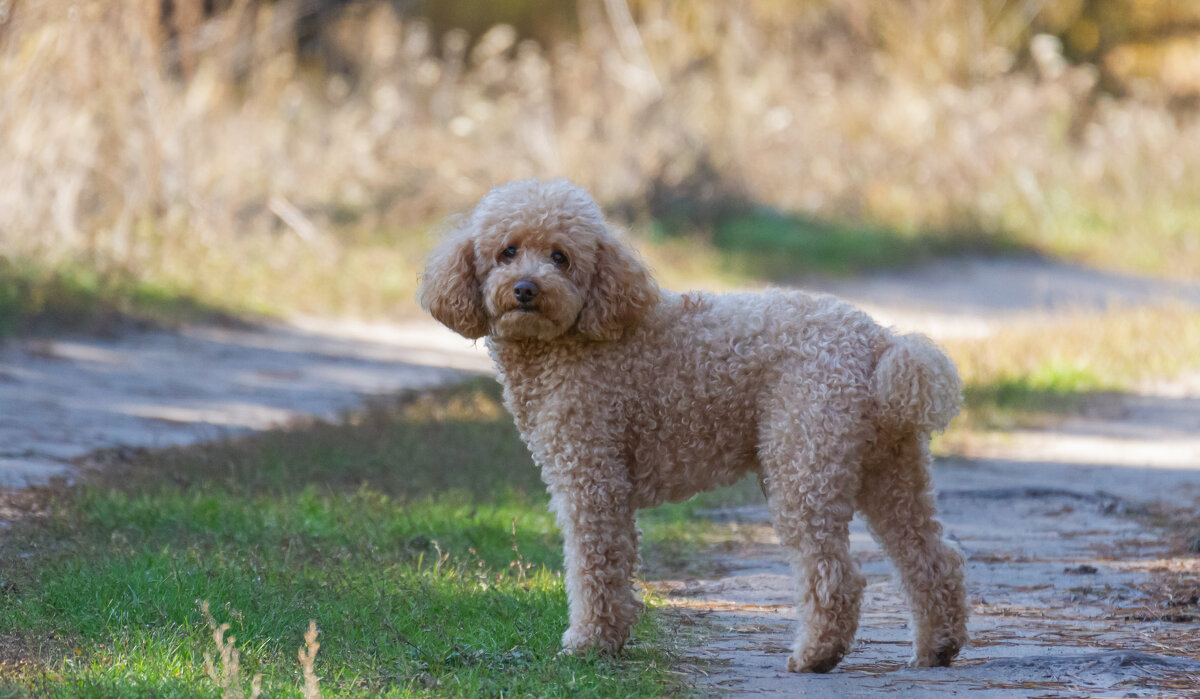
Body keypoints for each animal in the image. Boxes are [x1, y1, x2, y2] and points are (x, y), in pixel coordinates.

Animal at [417, 177, 969, 672]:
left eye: (560, 257)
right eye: (507, 252)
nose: (526, 289)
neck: (568, 339)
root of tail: (879, 342)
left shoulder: (591, 478)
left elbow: (594, 565)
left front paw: (590, 643)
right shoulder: (606, 484)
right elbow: (616, 563)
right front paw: (612, 640)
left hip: (804, 465)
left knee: (836, 573)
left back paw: (816, 655)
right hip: (890, 470)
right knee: (932, 557)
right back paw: (937, 648)